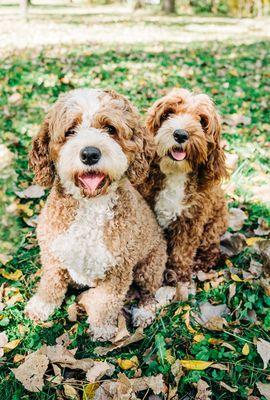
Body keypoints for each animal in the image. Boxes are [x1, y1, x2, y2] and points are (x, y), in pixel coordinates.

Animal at [25, 89, 169, 340]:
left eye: (110, 129)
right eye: (70, 131)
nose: (90, 154)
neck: (89, 206)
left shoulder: (118, 269)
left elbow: (106, 301)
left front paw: (102, 327)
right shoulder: (53, 254)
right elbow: (50, 284)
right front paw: (41, 306)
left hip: (150, 266)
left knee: (149, 292)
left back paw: (143, 312)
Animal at [138, 90, 229, 284]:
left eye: (202, 121)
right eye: (168, 114)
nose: (180, 134)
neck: (176, 173)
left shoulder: (192, 220)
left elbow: (183, 249)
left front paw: (177, 273)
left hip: (215, 225)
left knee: (212, 248)